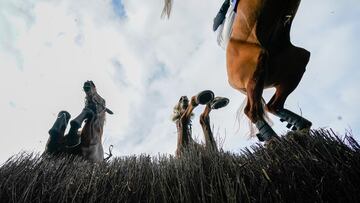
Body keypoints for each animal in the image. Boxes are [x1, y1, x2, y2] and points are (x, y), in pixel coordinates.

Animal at [162, 0, 310, 141]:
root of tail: (230, 81)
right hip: (256, 67)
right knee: (252, 110)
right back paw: (274, 139)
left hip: (297, 59)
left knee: (272, 106)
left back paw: (301, 127)